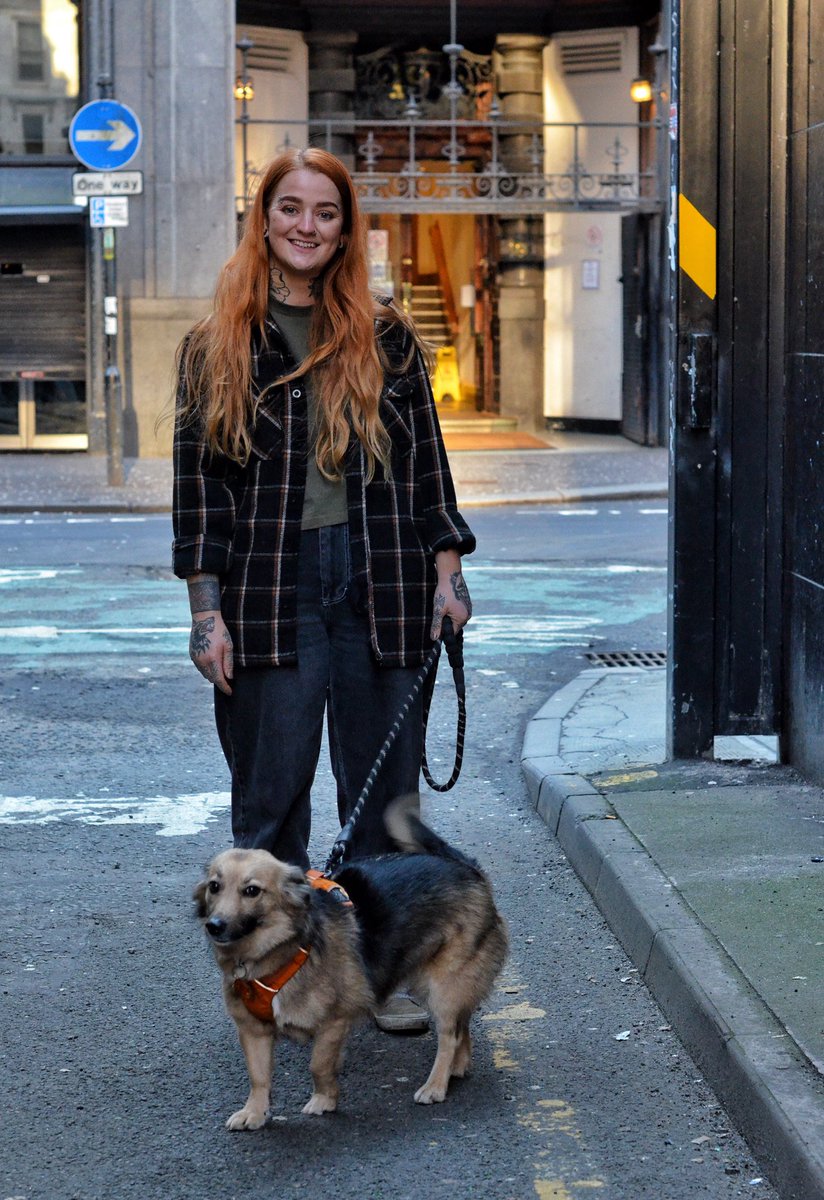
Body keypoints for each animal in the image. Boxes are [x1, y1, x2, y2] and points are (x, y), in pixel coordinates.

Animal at [196, 801, 513, 1128]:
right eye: (214, 886)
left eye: (252, 891)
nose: (214, 926)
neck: (276, 952)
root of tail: (467, 867)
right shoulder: (253, 1030)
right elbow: (258, 1077)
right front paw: (255, 1112)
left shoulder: (334, 1022)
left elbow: (319, 1065)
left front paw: (323, 1100)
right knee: (463, 1025)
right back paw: (457, 1067)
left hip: (445, 986)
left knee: (449, 1034)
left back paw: (436, 1085)